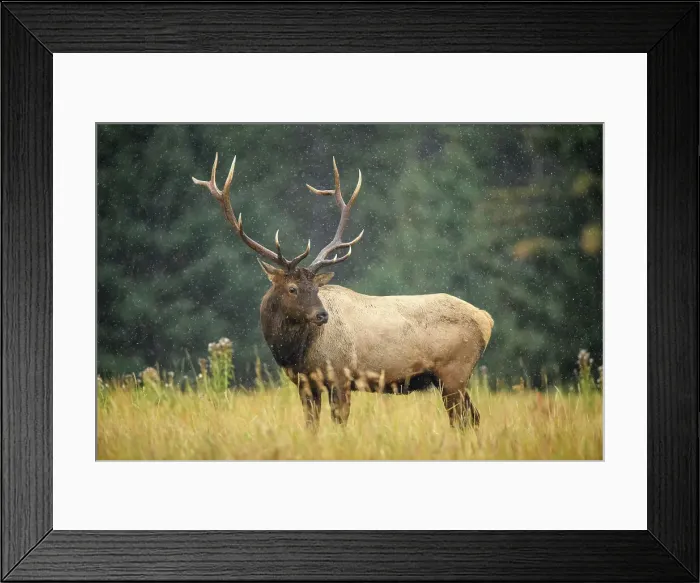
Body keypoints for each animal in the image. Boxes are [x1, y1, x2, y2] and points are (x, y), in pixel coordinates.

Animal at [192, 154, 494, 429]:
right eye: (292, 288)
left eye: (316, 287)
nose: (322, 315)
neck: (295, 353)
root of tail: (486, 319)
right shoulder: (305, 384)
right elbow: (311, 426)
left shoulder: (340, 376)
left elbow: (340, 423)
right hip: (447, 379)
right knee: (473, 418)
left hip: (454, 373)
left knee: (464, 419)